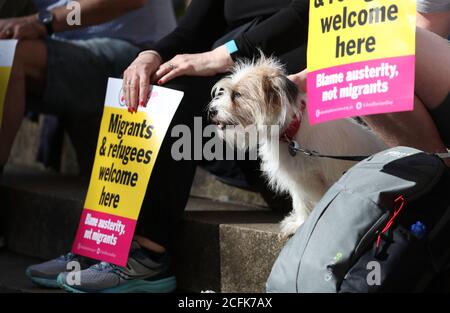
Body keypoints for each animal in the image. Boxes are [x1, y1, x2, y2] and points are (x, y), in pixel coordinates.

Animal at [208, 57, 386, 235]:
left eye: (237, 94)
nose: (211, 111)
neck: (292, 132)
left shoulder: (316, 176)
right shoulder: (298, 178)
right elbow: (301, 201)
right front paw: (300, 222)